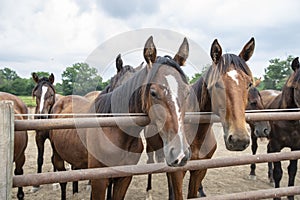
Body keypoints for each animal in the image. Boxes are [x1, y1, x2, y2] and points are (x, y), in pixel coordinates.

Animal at [145, 38, 255, 200]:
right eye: (217, 84)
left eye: (249, 84)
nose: (238, 139)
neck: (197, 135)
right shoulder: (179, 171)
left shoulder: (200, 169)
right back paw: (148, 192)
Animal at [260, 56, 300, 200]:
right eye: (297, 87)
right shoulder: (276, 145)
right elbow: (278, 172)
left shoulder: (296, 147)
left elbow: (292, 171)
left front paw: (291, 196)